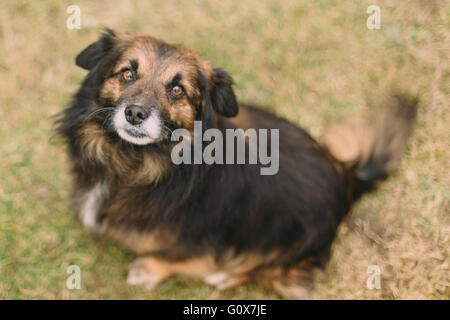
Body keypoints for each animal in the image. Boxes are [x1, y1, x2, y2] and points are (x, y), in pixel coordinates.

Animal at [56, 29, 418, 298]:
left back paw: (227, 278)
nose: (134, 113)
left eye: (177, 90)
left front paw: (149, 270)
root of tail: (347, 175)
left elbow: (175, 259)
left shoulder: (202, 243)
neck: (140, 162)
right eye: (127, 73)